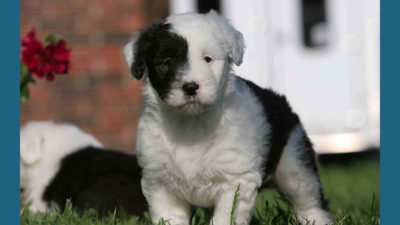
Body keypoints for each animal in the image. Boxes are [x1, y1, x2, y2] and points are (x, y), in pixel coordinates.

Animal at [124, 11, 332, 225]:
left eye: (207, 59)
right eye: (166, 62)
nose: (191, 87)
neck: (191, 122)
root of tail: (281, 101)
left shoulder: (236, 181)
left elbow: (226, 216)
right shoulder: (160, 182)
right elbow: (169, 217)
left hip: (294, 161)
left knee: (308, 200)